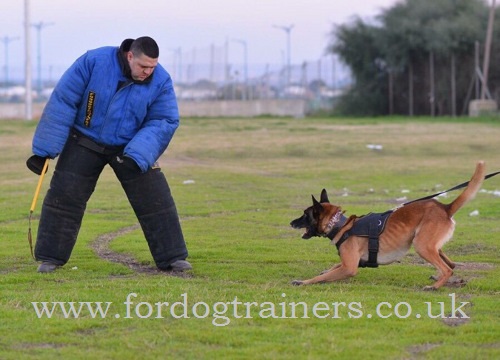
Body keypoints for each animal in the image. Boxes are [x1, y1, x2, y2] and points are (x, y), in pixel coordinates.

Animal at [290, 160, 484, 290]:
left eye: (305, 214)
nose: (291, 222)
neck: (342, 226)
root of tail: (445, 208)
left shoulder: (349, 267)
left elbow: (319, 277)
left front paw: (303, 281)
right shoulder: (349, 262)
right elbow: (332, 268)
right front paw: (323, 271)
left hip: (421, 245)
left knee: (447, 268)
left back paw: (435, 286)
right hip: (430, 243)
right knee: (450, 265)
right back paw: (442, 278)